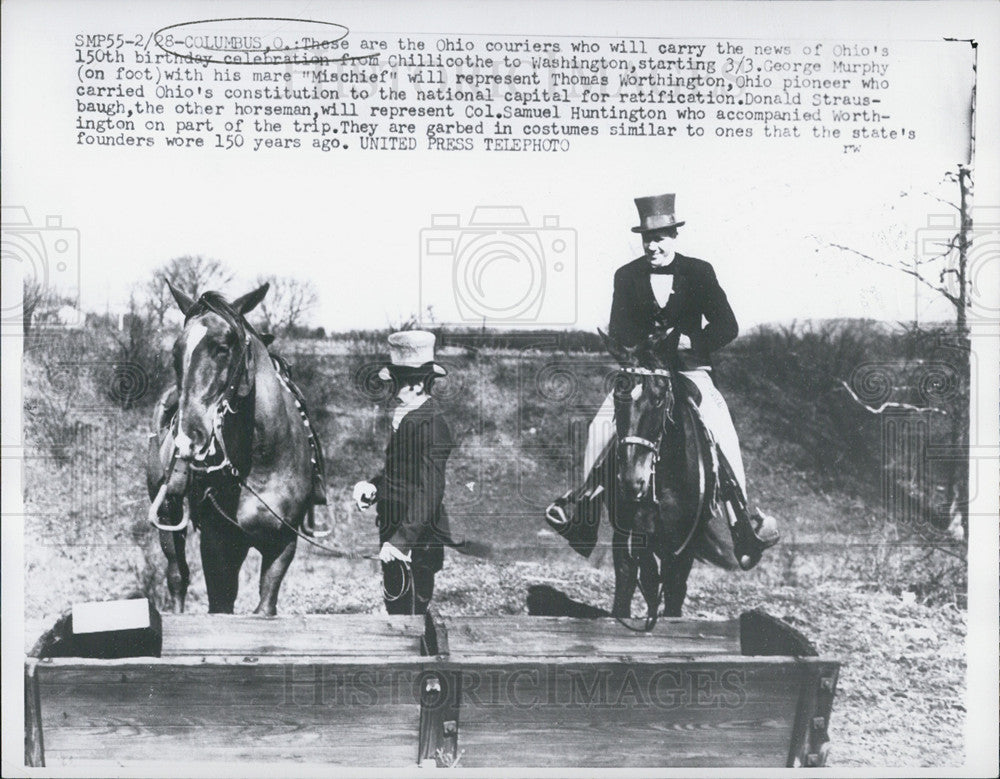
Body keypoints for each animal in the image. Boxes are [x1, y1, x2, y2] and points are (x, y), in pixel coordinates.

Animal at [145, 282, 314, 616]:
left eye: (223, 347)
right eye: (176, 352)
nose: (188, 437)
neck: (260, 461)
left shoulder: (283, 544)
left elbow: (265, 605)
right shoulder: (217, 544)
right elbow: (219, 603)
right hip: (168, 515)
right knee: (177, 576)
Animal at [596, 330, 740, 628]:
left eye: (659, 398)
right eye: (617, 396)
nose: (632, 481)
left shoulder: (683, 547)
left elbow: (673, 592)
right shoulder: (627, 536)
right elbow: (629, 586)